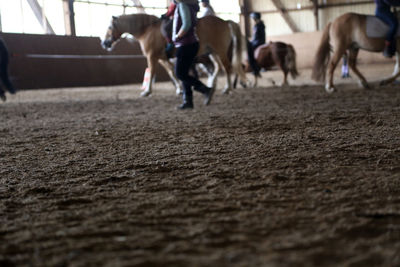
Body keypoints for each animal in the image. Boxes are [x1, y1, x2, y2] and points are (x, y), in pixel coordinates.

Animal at [101, 13, 245, 97]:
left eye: (109, 27)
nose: (104, 43)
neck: (146, 30)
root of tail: (225, 21)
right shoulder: (162, 58)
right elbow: (172, 72)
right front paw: (179, 89)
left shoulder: (152, 57)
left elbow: (152, 72)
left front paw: (147, 91)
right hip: (212, 53)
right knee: (217, 67)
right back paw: (213, 86)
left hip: (220, 51)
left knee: (227, 68)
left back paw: (227, 88)